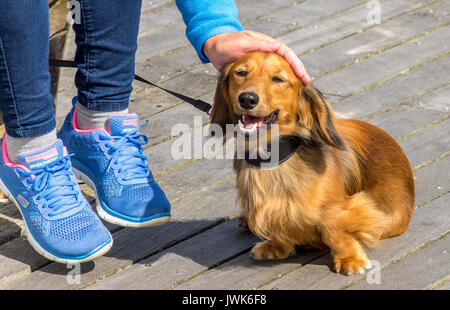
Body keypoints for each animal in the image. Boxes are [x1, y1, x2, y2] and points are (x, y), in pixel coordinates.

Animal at [211, 51, 414, 276]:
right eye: (241, 73)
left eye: (278, 79)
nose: (247, 99)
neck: (272, 158)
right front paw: (276, 245)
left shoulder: (347, 208)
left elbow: (333, 228)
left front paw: (350, 258)